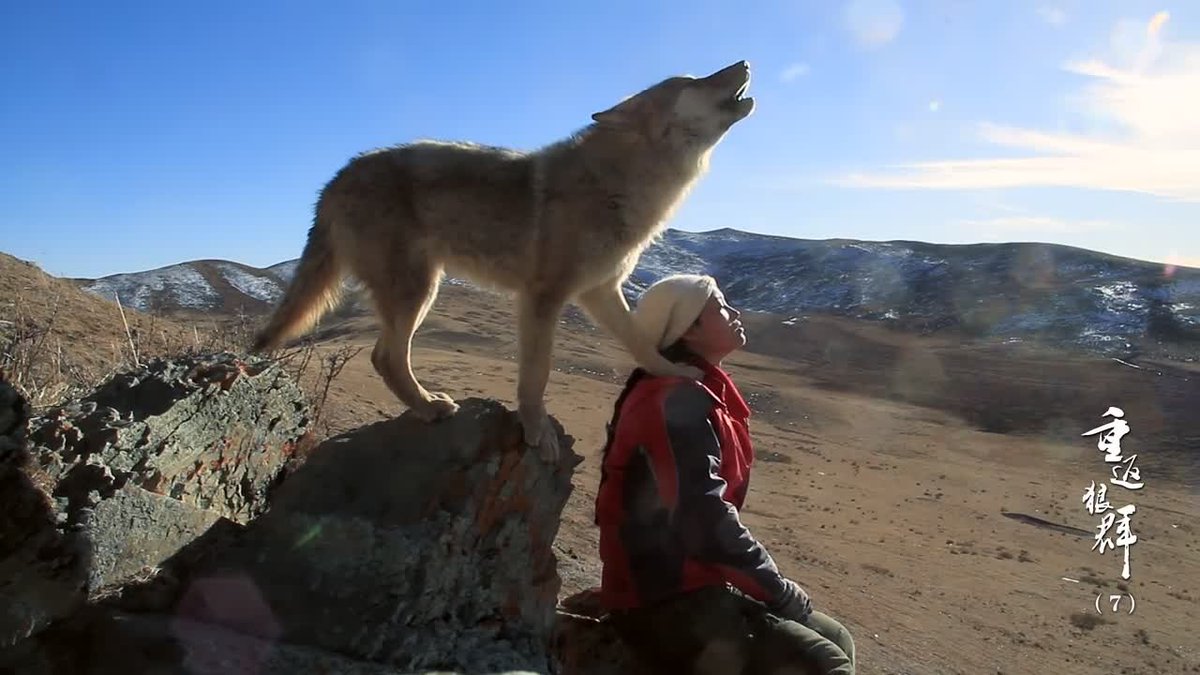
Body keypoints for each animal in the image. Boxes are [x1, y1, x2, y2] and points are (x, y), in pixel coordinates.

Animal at [251, 60, 756, 462]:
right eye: (693, 80)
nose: (746, 61)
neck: (621, 185)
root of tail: (335, 177)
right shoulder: (542, 298)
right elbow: (536, 376)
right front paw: (537, 431)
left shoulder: (601, 292)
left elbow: (642, 345)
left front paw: (676, 373)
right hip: (418, 291)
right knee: (386, 357)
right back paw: (431, 407)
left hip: (419, 289)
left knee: (384, 356)